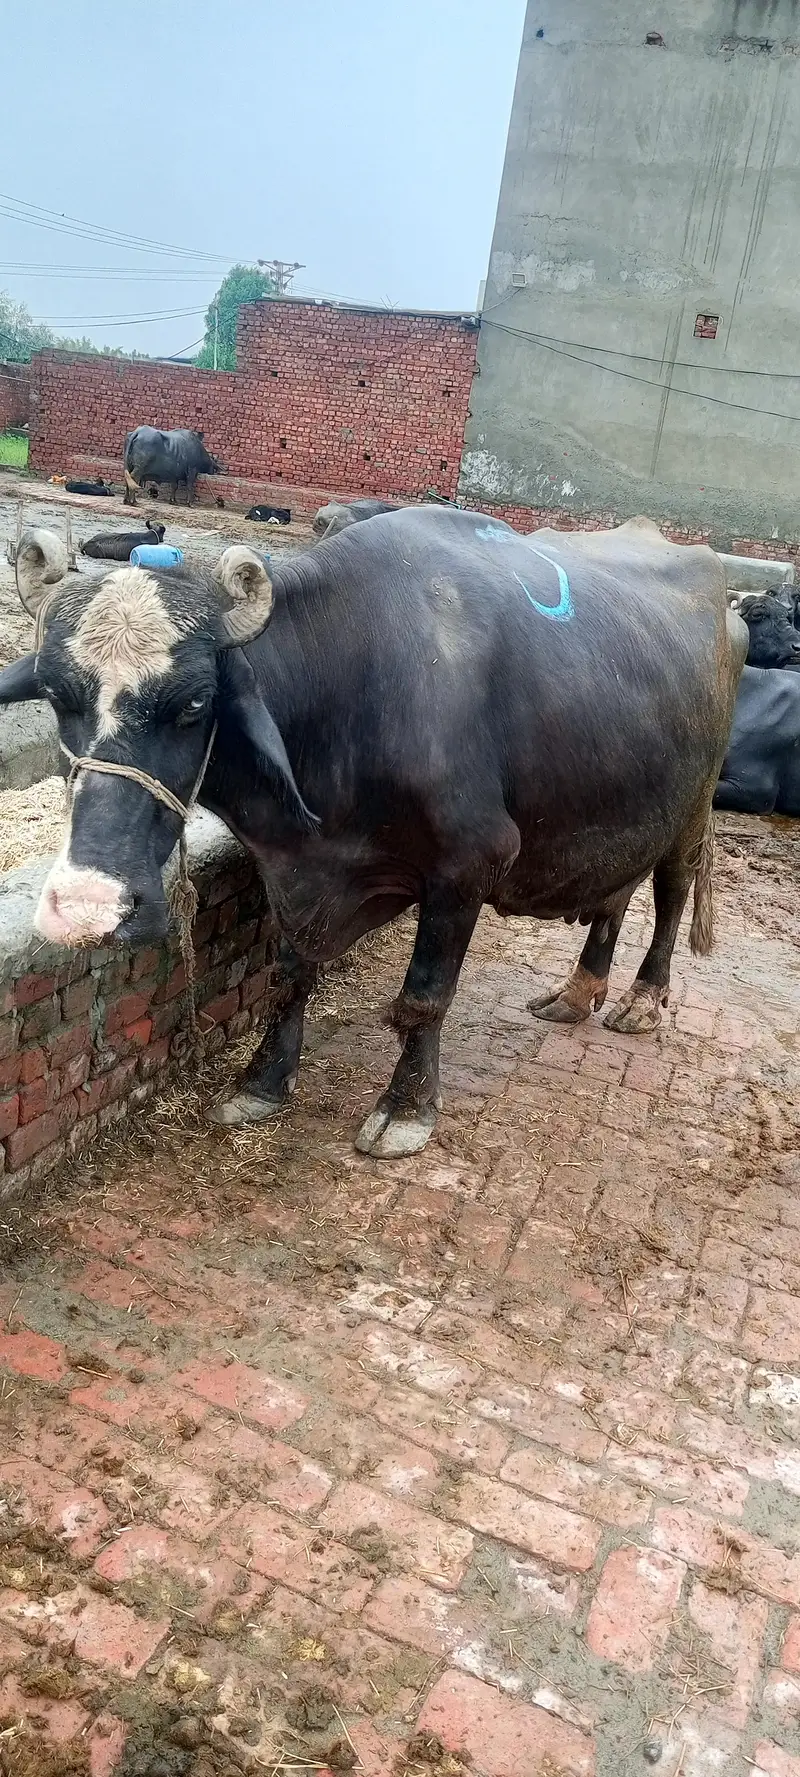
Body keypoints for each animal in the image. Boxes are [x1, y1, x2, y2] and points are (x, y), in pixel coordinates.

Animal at [0, 510, 745, 1159]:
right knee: (615, 893)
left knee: (672, 890)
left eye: (193, 703)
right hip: (627, 805)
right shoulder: (296, 873)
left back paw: (642, 998)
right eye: (56, 695)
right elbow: (290, 974)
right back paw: (577, 991)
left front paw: (406, 1109)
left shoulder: (469, 865)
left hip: (693, 810)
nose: (87, 907)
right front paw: (262, 1081)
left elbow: (423, 996)